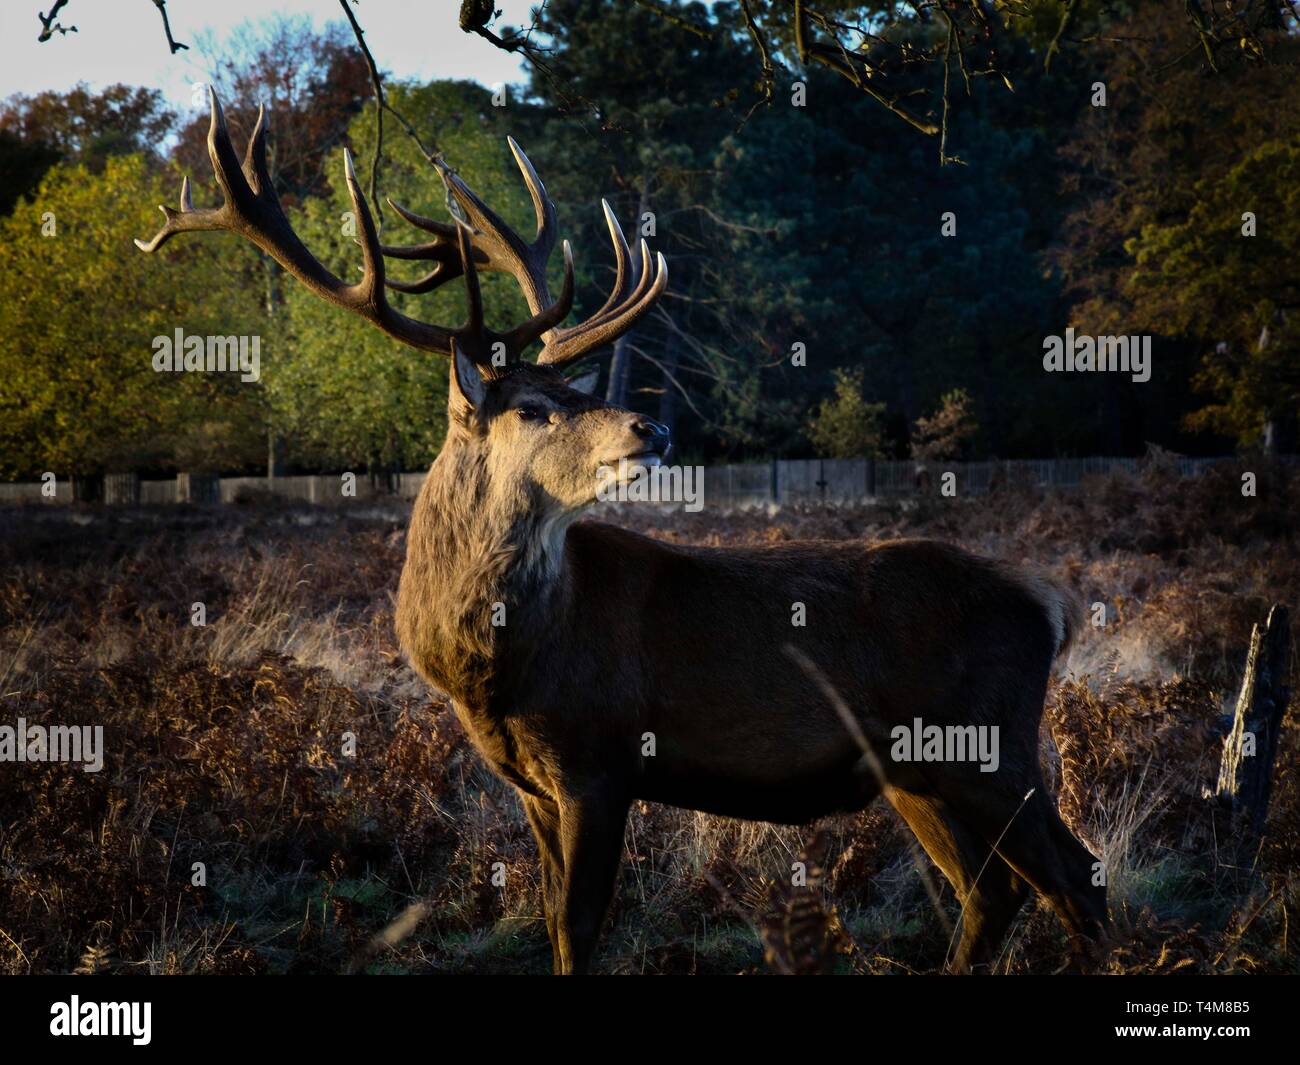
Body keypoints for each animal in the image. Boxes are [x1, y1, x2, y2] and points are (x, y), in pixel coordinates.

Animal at [139, 89, 1107, 972]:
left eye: (573, 392)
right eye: (534, 407)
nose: (655, 427)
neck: (493, 665)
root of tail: (1049, 603)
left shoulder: (599, 758)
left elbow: (578, 927)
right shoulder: (532, 782)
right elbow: (551, 917)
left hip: (990, 742)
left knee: (1075, 876)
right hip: (918, 769)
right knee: (994, 888)